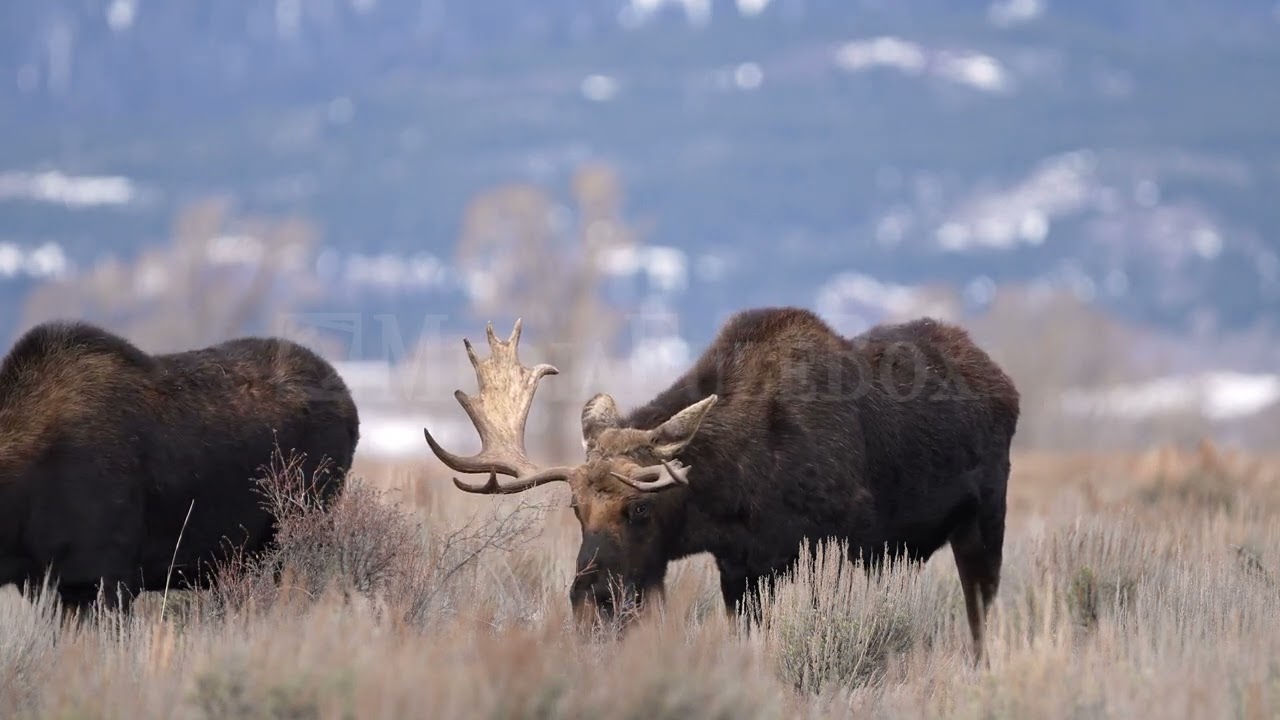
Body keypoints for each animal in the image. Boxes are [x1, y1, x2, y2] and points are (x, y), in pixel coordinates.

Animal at [421, 307, 1020, 660]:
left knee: (981, 614)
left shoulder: (821, 551)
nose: (592, 602)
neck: (730, 498)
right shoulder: (739, 570)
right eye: (575, 509)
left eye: (641, 508)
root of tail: (1004, 382)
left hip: (984, 522)